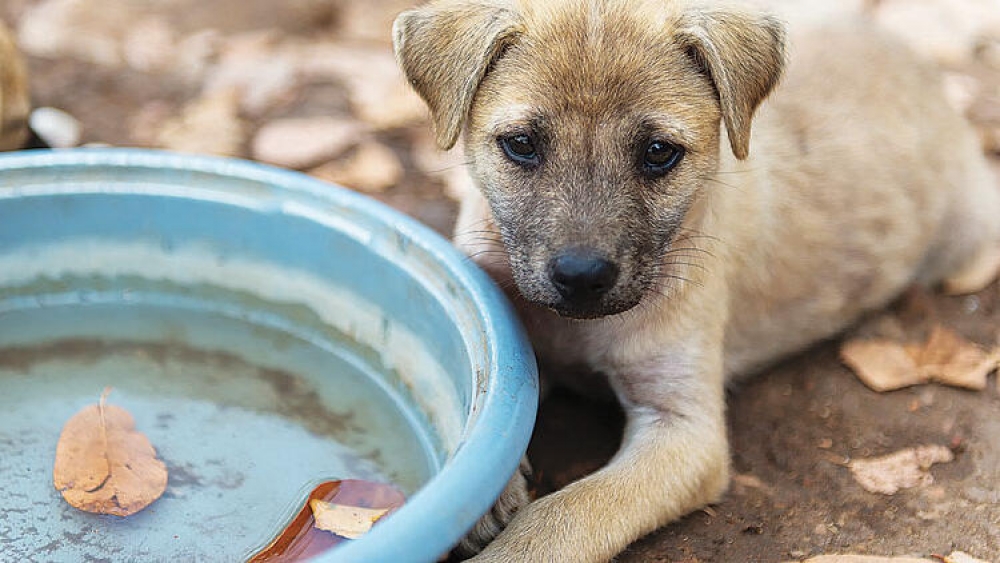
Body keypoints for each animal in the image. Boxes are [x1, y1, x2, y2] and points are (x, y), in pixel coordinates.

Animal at [392, 2, 1000, 560]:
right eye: (520, 144)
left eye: (659, 152)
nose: (582, 277)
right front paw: (488, 494)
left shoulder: (685, 432)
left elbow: (565, 514)